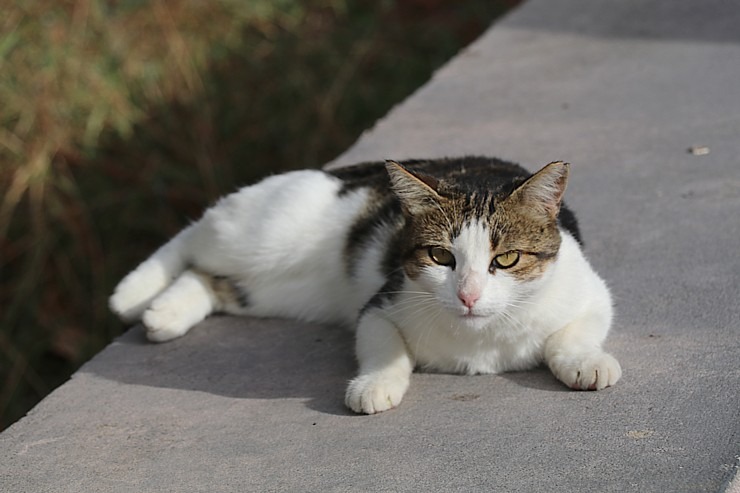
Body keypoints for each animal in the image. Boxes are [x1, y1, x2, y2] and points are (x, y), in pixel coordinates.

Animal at [108, 157, 620, 412]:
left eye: (506, 259)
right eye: (441, 257)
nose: (468, 294)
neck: (482, 338)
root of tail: (344, 170)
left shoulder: (594, 293)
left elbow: (572, 332)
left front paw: (586, 362)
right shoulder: (382, 302)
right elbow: (383, 345)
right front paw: (376, 384)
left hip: (279, 291)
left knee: (210, 278)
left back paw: (165, 313)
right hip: (259, 235)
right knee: (196, 235)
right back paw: (134, 293)